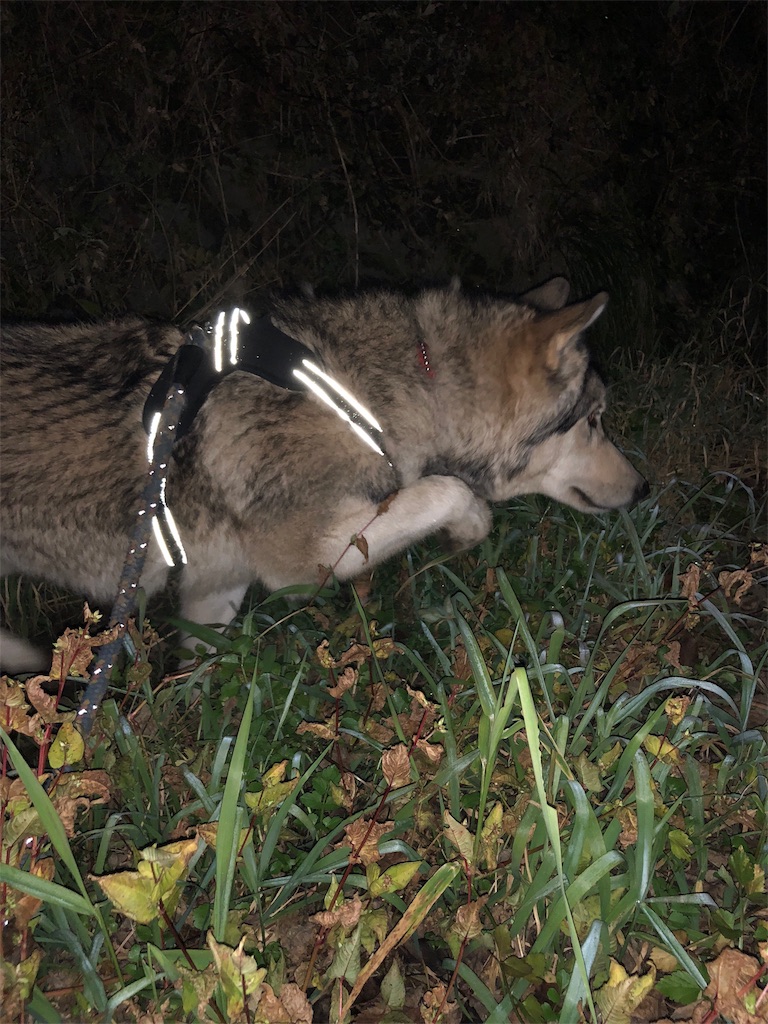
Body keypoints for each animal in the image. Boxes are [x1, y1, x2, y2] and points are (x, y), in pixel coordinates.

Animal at [0, 278, 648, 672]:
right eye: (594, 420)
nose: (644, 489)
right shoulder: (304, 558)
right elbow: (451, 492)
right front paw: (466, 529)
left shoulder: (215, 591)